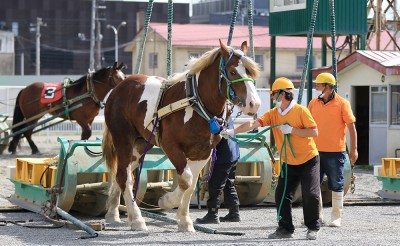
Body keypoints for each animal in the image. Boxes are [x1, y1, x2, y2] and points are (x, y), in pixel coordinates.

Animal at [101, 40, 260, 233]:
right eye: (232, 72)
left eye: (250, 72)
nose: (254, 103)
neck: (197, 105)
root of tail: (119, 88)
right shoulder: (171, 146)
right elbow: (185, 179)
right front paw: (166, 201)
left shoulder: (203, 153)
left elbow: (190, 186)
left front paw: (184, 220)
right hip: (123, 139)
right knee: (124, 176)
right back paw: (137, 219)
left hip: (140, 144)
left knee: (122, 174)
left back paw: (115, 213)